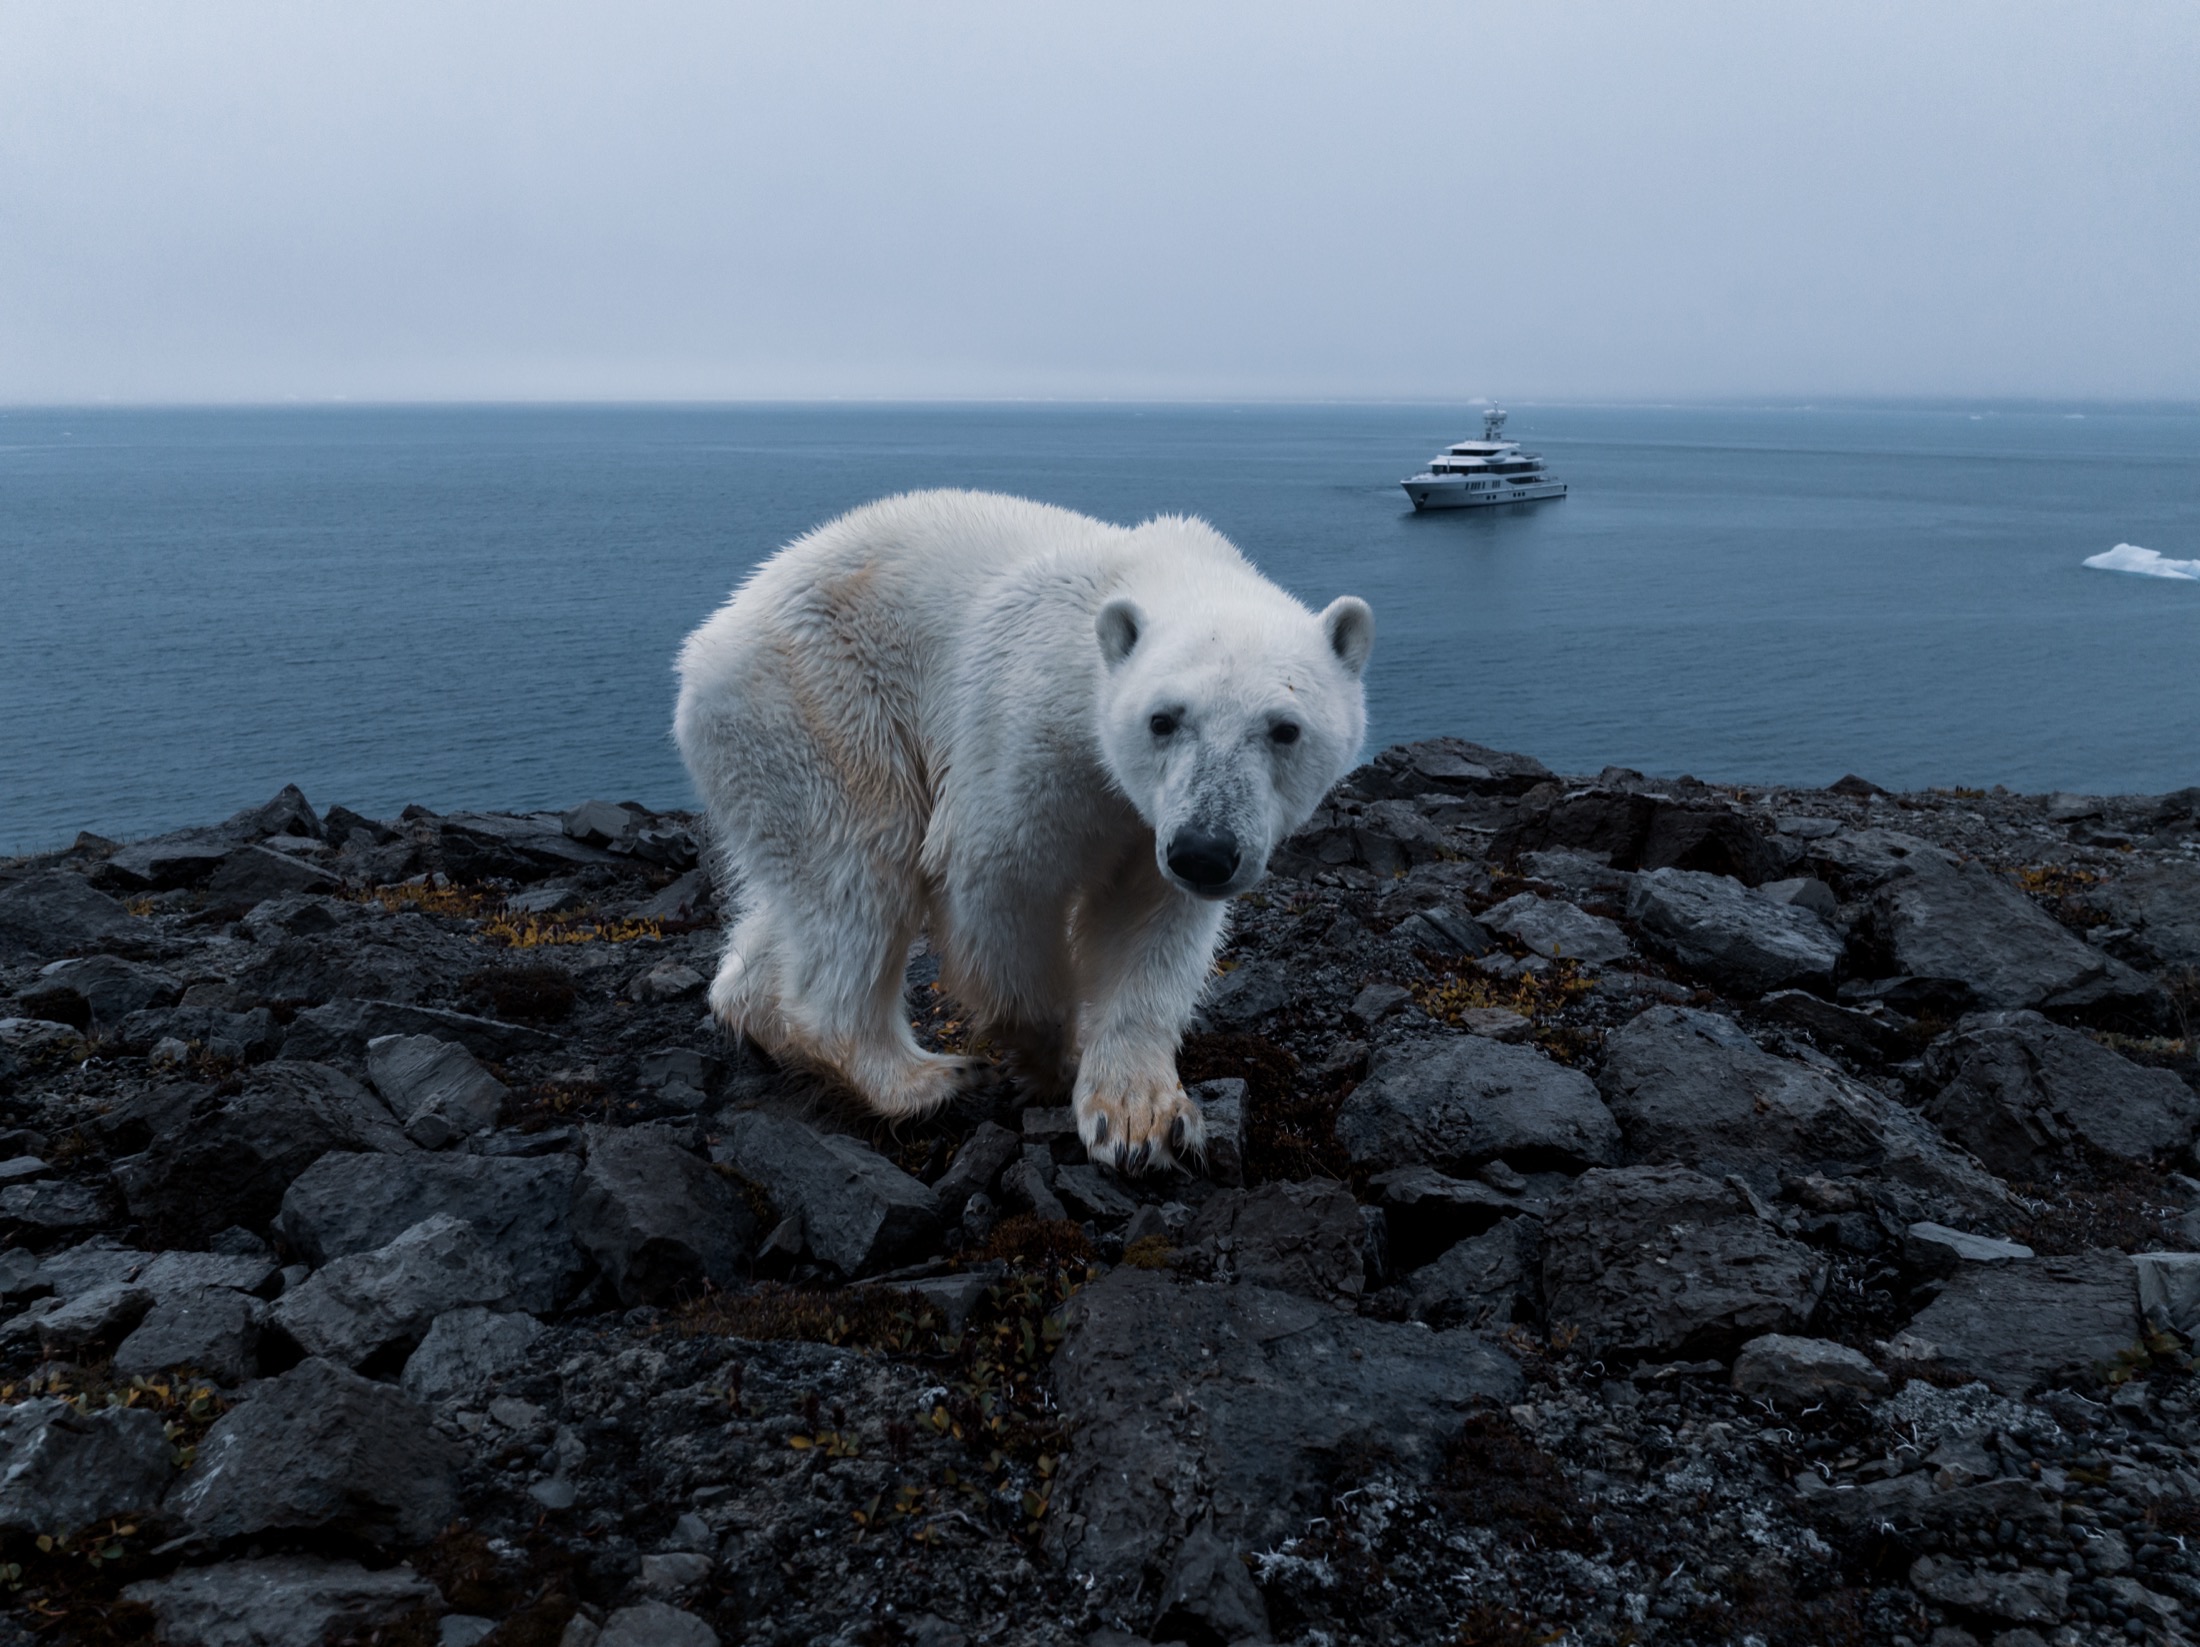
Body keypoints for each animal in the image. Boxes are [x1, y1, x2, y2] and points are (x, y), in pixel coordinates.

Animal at [673, 489, 1373, 1172]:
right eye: (1163, 719)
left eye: (1285, 728)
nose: (1204, 852)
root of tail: (708, 642)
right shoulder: (1028, 727)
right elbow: (1000, 882)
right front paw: (1049, 1053)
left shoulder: (1152, 823)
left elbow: (1152, 921)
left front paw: (1141, 1118)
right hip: (820, 702)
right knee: (862, 868)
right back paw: (922, 1081)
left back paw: (754, 1009)